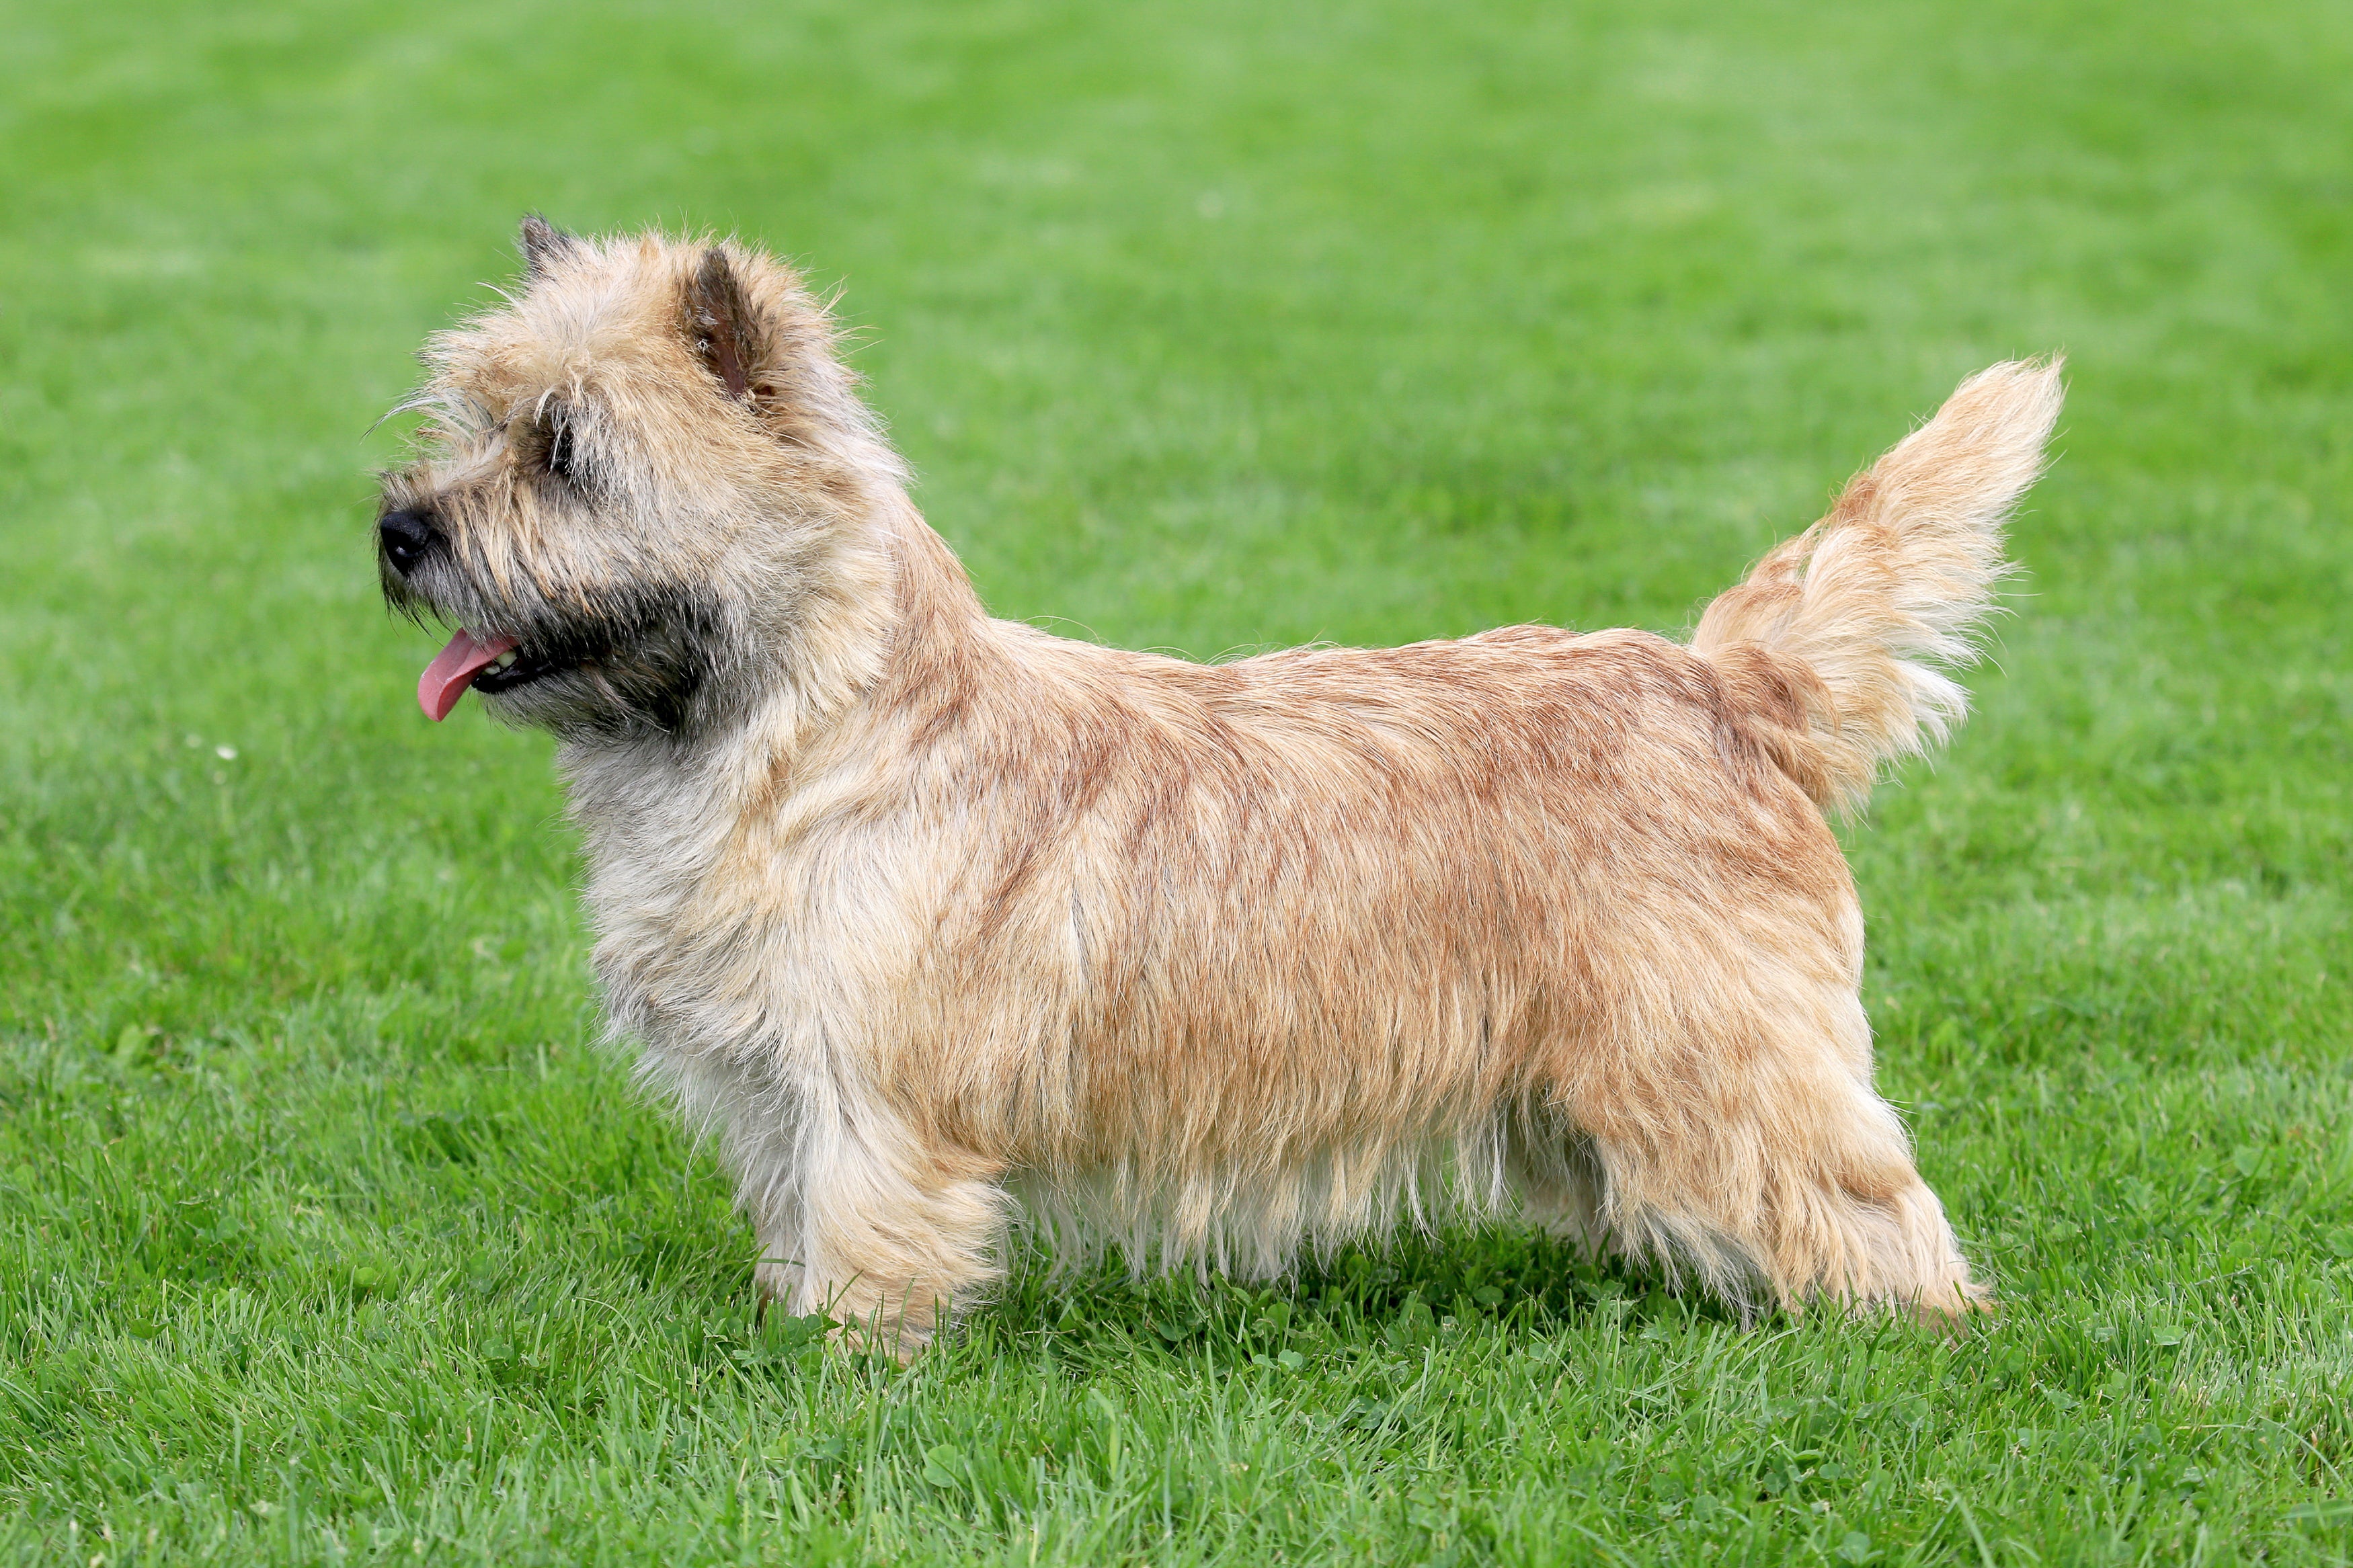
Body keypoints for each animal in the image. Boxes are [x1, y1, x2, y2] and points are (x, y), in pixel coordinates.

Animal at [372, 220, 2061, 1363]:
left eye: (566, 451)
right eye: (465, 423)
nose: (398, 530)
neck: (802, 732)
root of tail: (1721, 683)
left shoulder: (875, 1096)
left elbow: (866, 1249)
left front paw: (844, 1386)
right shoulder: (781, 1092)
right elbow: (795, 1226)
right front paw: (789, 1339)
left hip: (1723, 1058)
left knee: (1868, 1208)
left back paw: (1919, 1343)